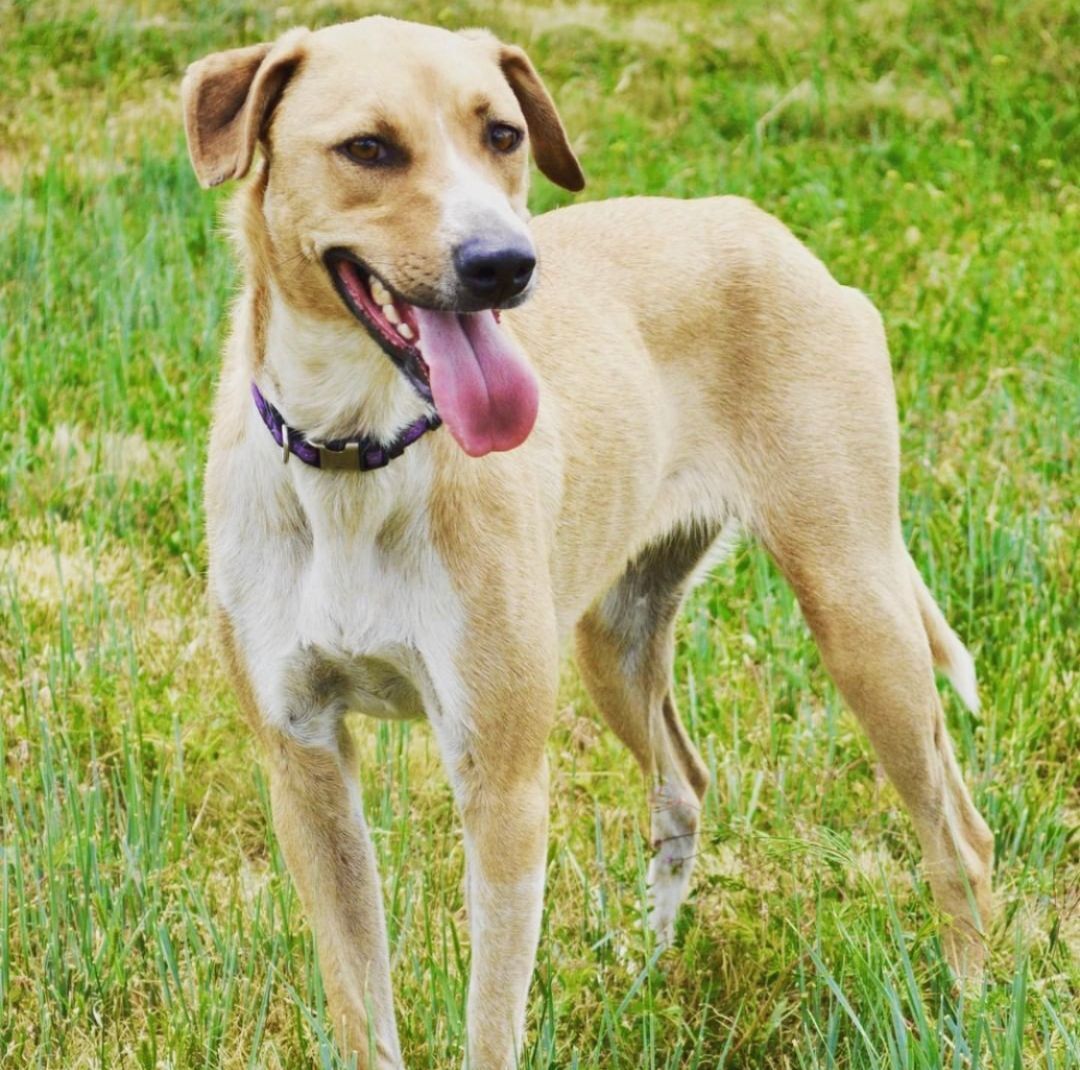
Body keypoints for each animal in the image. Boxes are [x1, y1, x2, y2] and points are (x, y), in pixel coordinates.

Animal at [179, 16, 993, 1070]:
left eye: (504, 134)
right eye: (368, 148)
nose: (505, 265)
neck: (360, 456)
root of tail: (766, 230)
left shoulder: (503, 783)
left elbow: (493, 1020)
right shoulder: (305, 763)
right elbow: (362, 1006)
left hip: (858, 611)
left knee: (958, 836)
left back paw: (975, 1011)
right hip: (615, 638)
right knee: (684, 785)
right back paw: (648, 973)